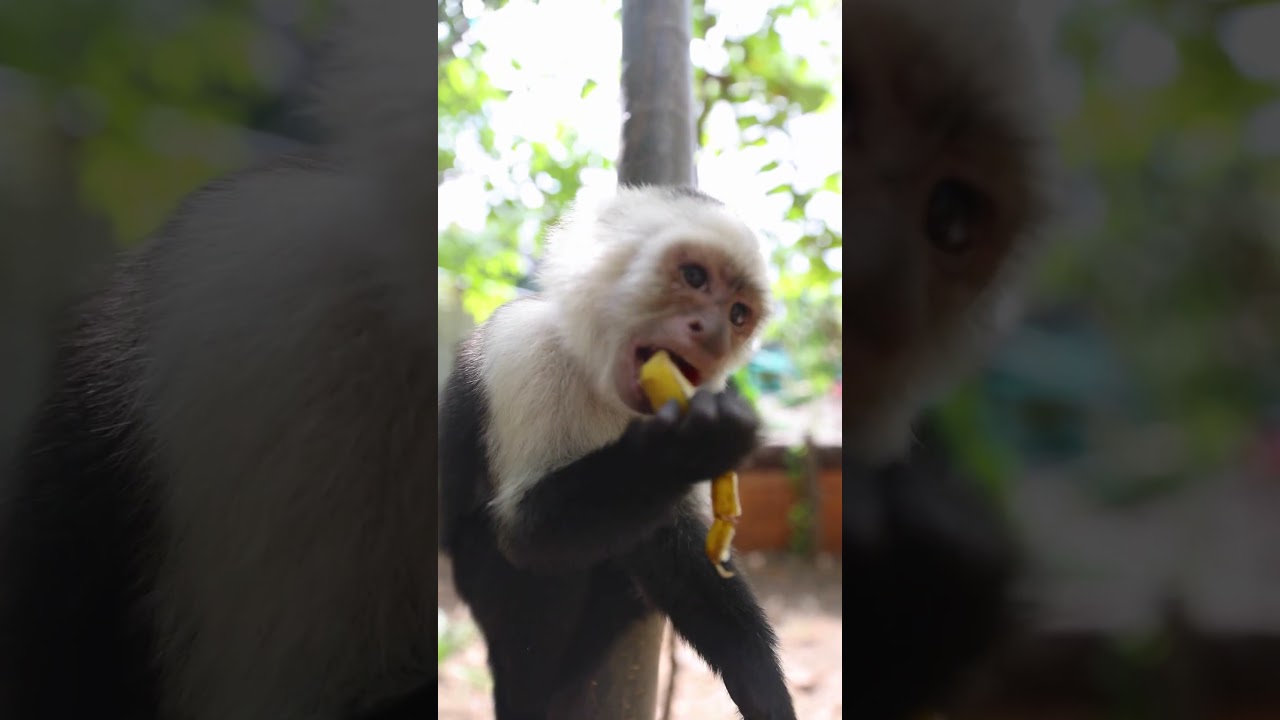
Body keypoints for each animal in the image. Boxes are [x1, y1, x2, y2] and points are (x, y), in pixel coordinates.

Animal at [438, 184, 796, 720]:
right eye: (694, 276)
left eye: (738, 315)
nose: (714, 335)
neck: (603, 382)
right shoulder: (526, 353)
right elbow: (523, 537)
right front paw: (687, 448)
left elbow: (678, 544)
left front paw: (762, 687)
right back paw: (540, 684)